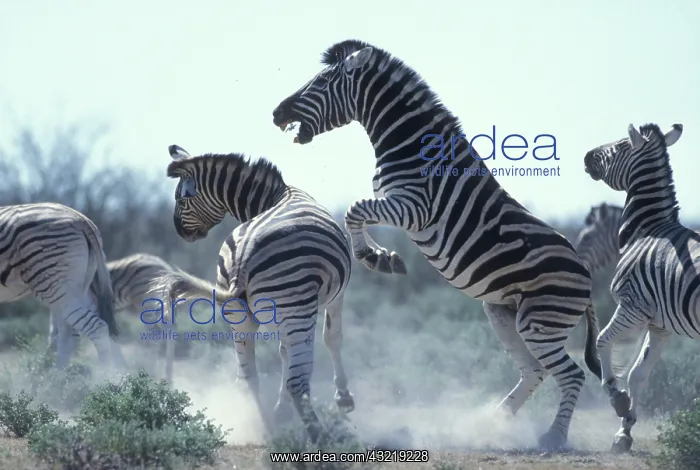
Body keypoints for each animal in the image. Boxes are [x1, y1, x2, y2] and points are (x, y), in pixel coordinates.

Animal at [0, 202, 125, 370]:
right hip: (74, 289)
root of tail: (81, 218)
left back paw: (104, 375)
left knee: (95, 328)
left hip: (55, 284)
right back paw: (58, 376)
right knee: (71, 334)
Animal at [149, 144, 354, 445]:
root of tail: (243, 257)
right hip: (297, 308)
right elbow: (333, 338)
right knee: (298, 382)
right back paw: (319, 436)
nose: (180, 231)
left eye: (181, 200)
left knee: (249, 379)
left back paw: (269, 430)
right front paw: (344, 399)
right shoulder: (337, 295)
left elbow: (283, 352)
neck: (275, 195)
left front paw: (281, 411)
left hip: (242, 316)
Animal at [271, 39, 602, 451]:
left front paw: (372, 257)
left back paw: (552, 438)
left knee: (572, 375)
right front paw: (382, 255)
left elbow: (354, 211)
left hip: (541, 319)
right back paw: (491, 422)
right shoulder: (394, 202)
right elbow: (358, 214)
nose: (276, 113)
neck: (410, 145)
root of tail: (586, 275)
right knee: (535, 371)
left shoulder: (414, 207)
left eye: (321, 81)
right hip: (504, 313)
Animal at [583, 122, 692, 453]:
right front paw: (624, 432)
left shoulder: (632, 307)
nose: (586, 156)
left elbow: (602, 342)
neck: (648, 231)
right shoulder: (660, 324)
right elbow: (638, 373)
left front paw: (617, 399)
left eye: (620, 146)